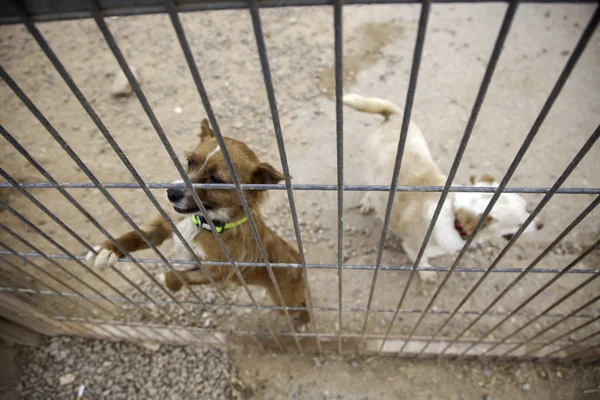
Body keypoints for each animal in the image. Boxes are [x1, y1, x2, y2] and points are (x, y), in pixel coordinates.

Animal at [86, 119, 310, 324]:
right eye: (190, 161)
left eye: (216, 180)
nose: (171, 193)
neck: (203, 222)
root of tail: (299, 266)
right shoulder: (163, 228)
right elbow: (133, 236)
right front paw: (108, 250)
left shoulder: (216, 272)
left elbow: (175, 275)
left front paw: (171, 285)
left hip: (286, 301)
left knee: (300, 306)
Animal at [342, 93, 544, 284]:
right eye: (519, 224)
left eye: (527, 208)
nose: (541, 225)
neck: (453, 214)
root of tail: (395, 116)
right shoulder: (413, 248)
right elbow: (421, 262)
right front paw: (426, 274)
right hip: (371, 173)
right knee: (370, 190)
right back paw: (368, 202)